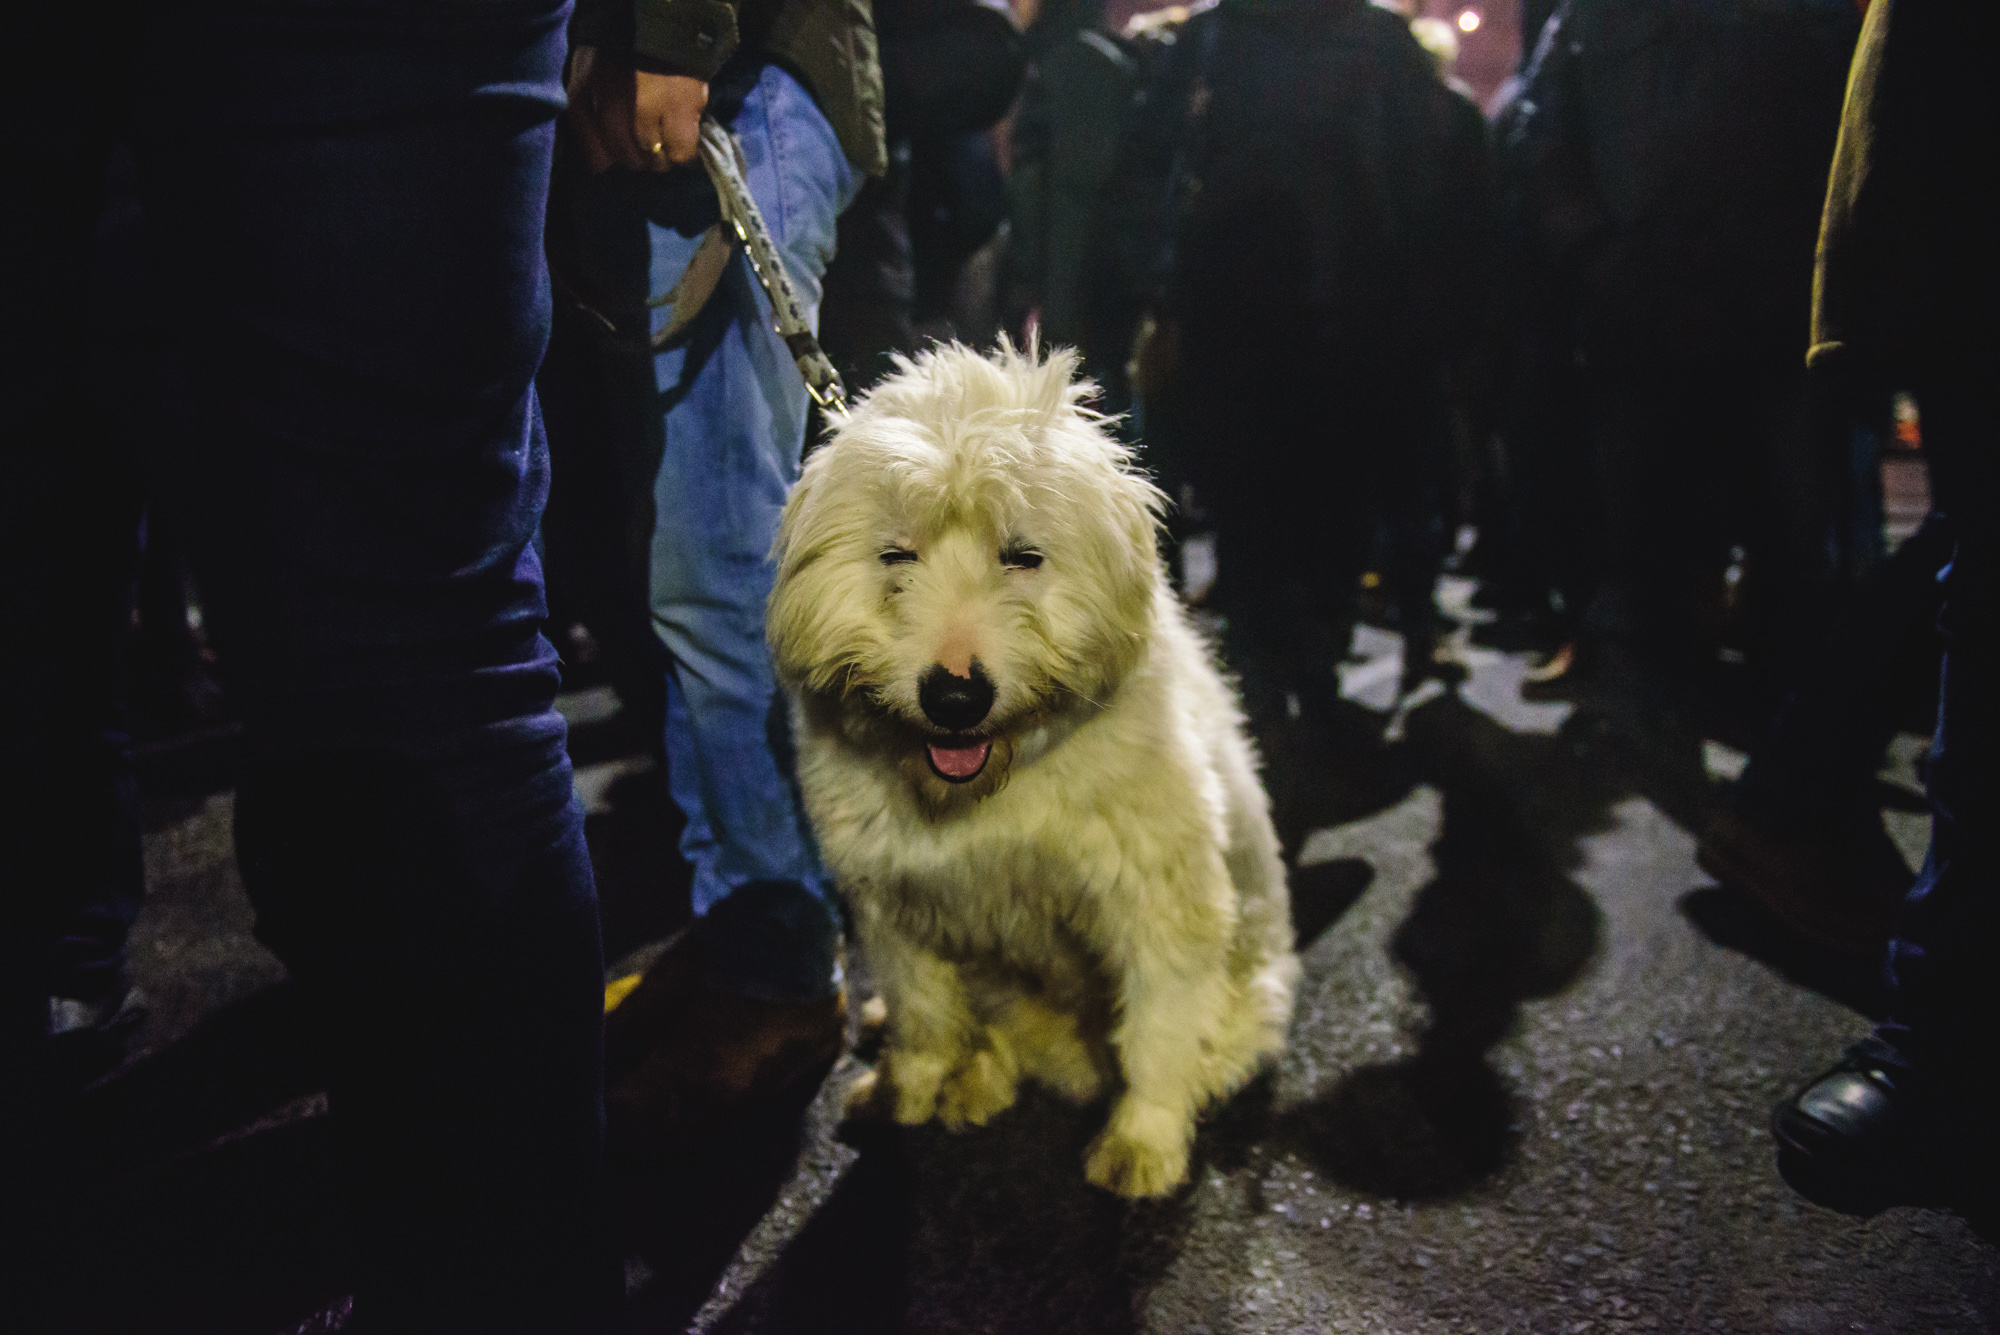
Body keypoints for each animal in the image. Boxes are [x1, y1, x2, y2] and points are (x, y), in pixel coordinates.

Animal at [764, 341, 1296, 1199]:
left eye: (1022, 556)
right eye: (896, 553)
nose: (954, 696)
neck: (988, 791)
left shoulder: (1158, 899)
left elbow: (1159, 1027)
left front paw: (1143, 1140)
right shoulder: (892, 900)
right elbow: (920, 1015)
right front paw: (909, 1087)